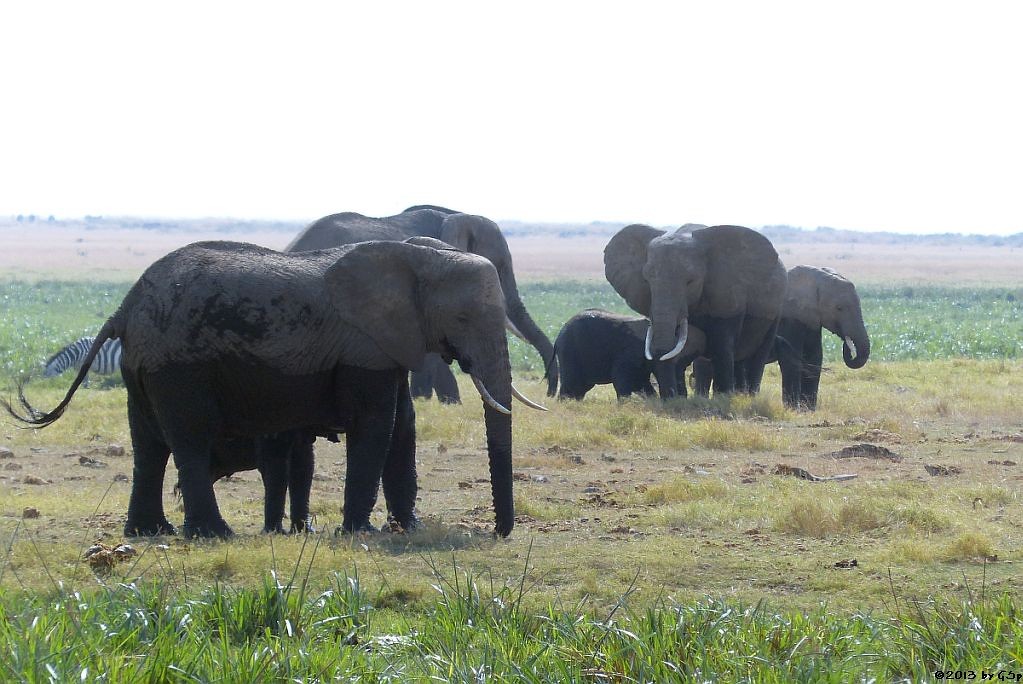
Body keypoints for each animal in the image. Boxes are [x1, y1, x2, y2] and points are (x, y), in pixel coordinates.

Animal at [6, 237, 544, 535]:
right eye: (463, 318)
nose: (499, 533)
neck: (421, 255)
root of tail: (124, 306)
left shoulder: (387, 342)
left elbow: (401, 425)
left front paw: (403, 529)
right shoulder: (363, 342)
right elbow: (375, 424)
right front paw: (360, 531)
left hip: (143, 367)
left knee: (149, 445)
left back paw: (148, 532)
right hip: (178, 366)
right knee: (189, 439)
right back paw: (213, 535)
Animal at [548, 308, 707, 400]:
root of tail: (558, 337)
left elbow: (642, 384)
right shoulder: (628, 354)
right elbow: (622, 380)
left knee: (580, 388)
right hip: (569, 351)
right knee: (571, 386)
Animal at [601, 223, 785, 394]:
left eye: (691, 281)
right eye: (647, 280)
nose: (670, 397)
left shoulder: (727, 293)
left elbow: (722, 346)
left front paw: (723, 397)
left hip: (775, 310)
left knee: (757, 357)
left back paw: (746, 396)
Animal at [773, 263, 871, 408]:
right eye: (839, 308)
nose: (847, 342)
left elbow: (815, 357)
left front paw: (808, 409)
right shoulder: (789, 318)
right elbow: (792, 360)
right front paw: (792, 409)